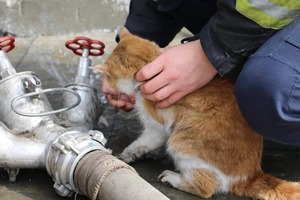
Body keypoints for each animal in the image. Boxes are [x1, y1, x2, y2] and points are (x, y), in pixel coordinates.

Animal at [96, 27, 300, 200]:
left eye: (109, 78)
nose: (108, 86)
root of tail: (252, 175)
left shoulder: (157, 125)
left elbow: (143, 141)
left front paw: (127, 153)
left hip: (182, 143)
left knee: (205, 188)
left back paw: (173, 178)